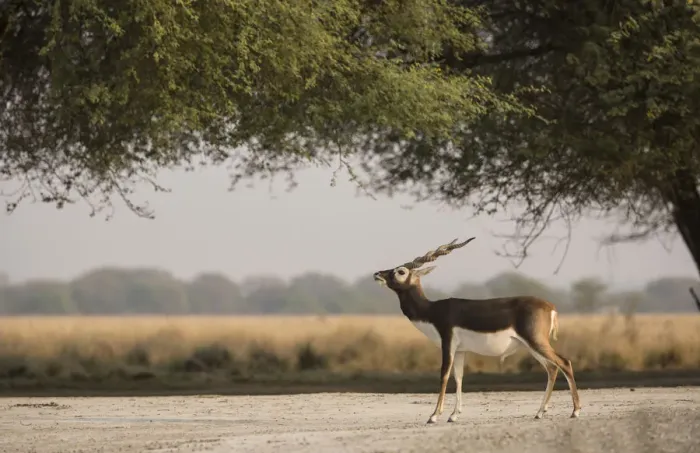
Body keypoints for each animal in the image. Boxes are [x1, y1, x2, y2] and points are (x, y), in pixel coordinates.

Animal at [373, 237, 581, 423]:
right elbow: (458, 378)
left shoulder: (447, 343)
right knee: (552, 368)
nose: (377, 274)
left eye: (400, 271)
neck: (431, 310)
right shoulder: (460, 350)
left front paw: (434, 415)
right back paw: (539, 413)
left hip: (535, 341)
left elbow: (444, 375)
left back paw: (575, 411)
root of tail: (550, 307)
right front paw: (454, 415)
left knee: (564, 362)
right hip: (531, 345)